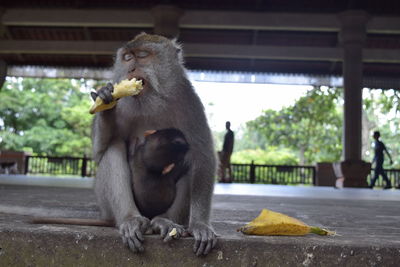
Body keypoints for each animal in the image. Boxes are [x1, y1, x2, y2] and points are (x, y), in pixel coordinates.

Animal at [92, 32, 217, 256]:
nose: (131, 69)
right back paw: (131, 220)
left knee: (190, 161)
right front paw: (106, 99)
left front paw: (200, 224)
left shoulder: (189, 101)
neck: (150, 100)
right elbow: (99, 152)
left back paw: (164, 222)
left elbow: (203, 158)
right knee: (114, 149)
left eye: (142, 55)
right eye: (127, 58)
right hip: (105, 207)